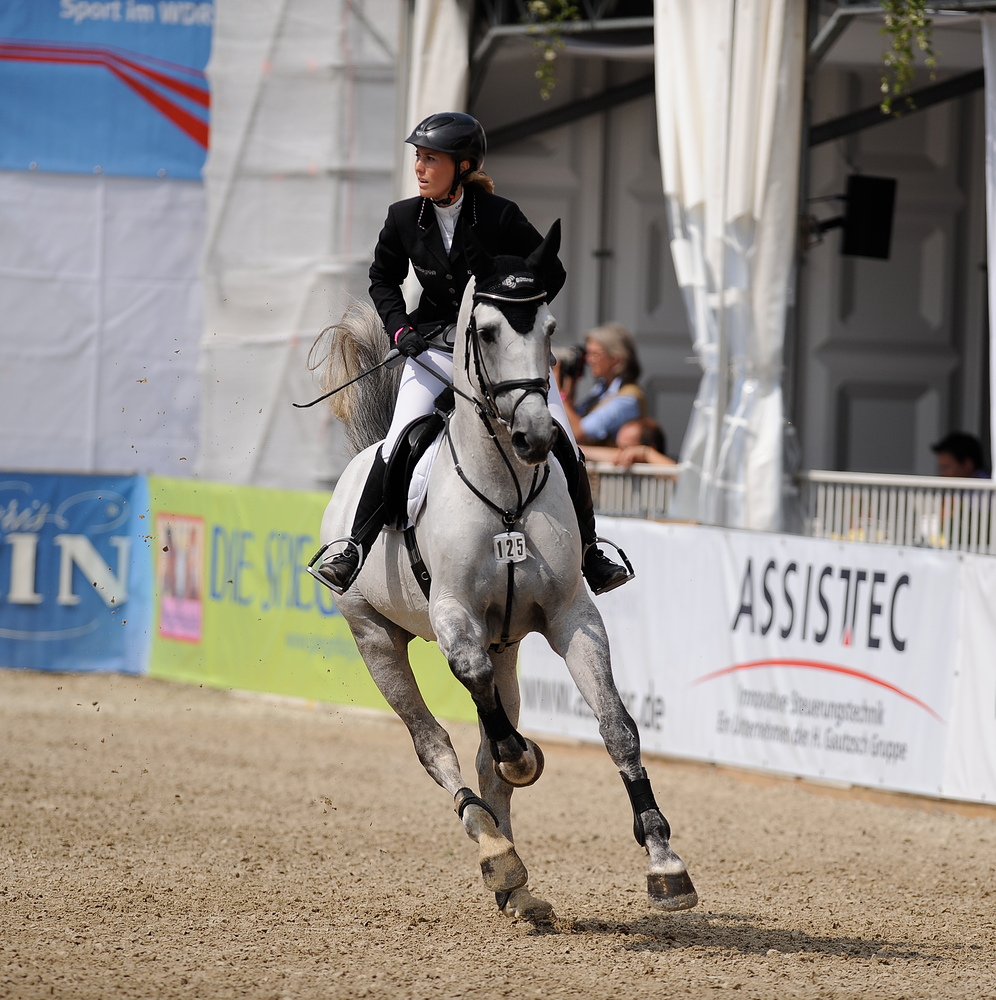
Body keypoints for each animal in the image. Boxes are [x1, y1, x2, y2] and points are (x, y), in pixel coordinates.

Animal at [310, 227, 692, 920]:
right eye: (485, 332)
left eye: (549, 327)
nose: (535, 435)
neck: (505, 489)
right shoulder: (455, 617)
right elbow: (483, 711)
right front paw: (525, 760)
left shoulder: (571, 614)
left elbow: (617, 728)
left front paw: (665, 862)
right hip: (374, 636)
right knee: (436, 745)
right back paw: (494, 849)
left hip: (508, 641)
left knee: (485, 747)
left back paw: (516, 883)